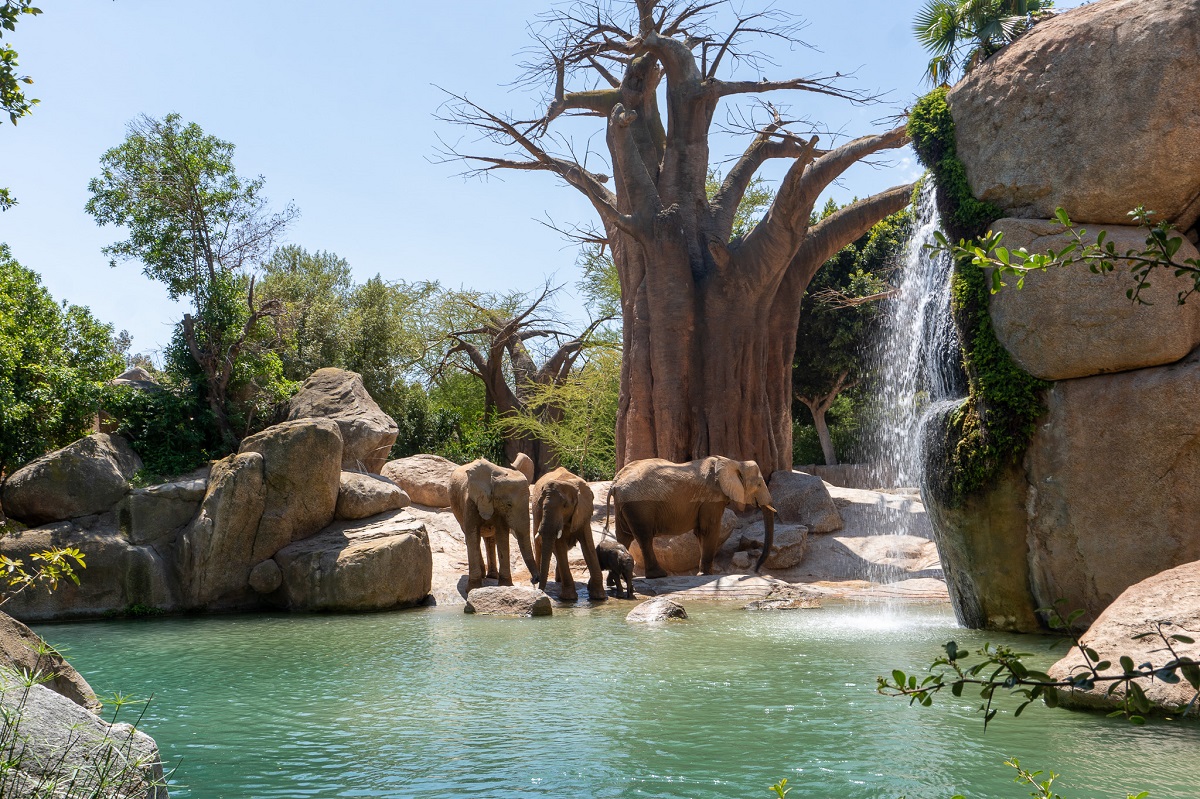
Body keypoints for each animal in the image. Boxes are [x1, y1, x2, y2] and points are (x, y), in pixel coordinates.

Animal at [449, 458, 540, 592]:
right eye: (508, 504)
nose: (534, 580)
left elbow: (502, 536)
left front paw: (506, 586)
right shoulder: (470, 502)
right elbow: (473, 536)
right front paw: (473, 589)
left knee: (490, 539)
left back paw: (492, 576)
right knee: (471, 537)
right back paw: (483, 575)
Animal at [531, 467, 606, 602]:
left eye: (565, 506)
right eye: (541, 504)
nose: (540, 592)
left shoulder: (583, 512)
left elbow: (588, 546)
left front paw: (599, 597)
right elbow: (559, 546)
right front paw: (569, 598)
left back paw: (556, 580)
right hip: (535, 517)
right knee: (539, 545)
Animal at [607, 456, 776, 579]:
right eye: (759, 484)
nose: (757, 570)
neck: (734, 462)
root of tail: (615, 483)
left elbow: (700, 532)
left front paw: (705, 573)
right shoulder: (711, 498)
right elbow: (710, 530)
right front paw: (706, 575)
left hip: (623, 505)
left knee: (624, 537)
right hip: (639, 506)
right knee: (644, 538)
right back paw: (658, 575)